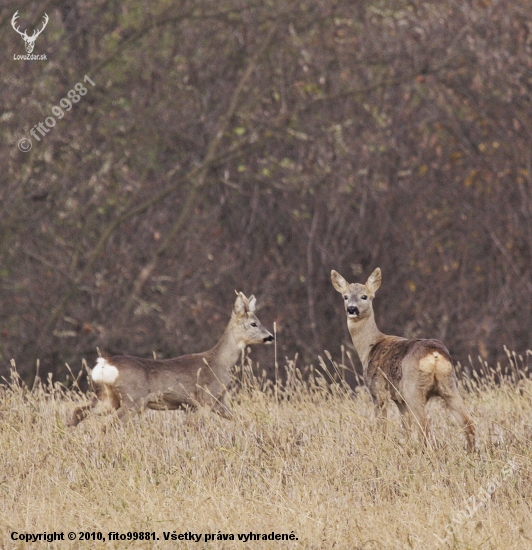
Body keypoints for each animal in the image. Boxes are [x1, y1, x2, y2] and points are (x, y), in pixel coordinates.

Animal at [68, 292, 272, 430]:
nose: (270, 337)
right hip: (133, 399)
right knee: (109, 424)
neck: (220, 362)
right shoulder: (207, 398)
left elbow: (238, 419)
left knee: (79, 411)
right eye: (254, 323)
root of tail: (105, 363)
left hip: (108, 397)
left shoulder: (205, 403)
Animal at [330, 268, 476, 452]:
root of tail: (434, 354)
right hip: (449, 385)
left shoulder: (378, 391)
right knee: (468, 423)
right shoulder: (399, 400)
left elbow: (382, 427)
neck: (370, 346)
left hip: (413, 389)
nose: (352, 309)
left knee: (426, 428)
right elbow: (406, 428)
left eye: (365, 296)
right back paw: (471, 453)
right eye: (345, 296)